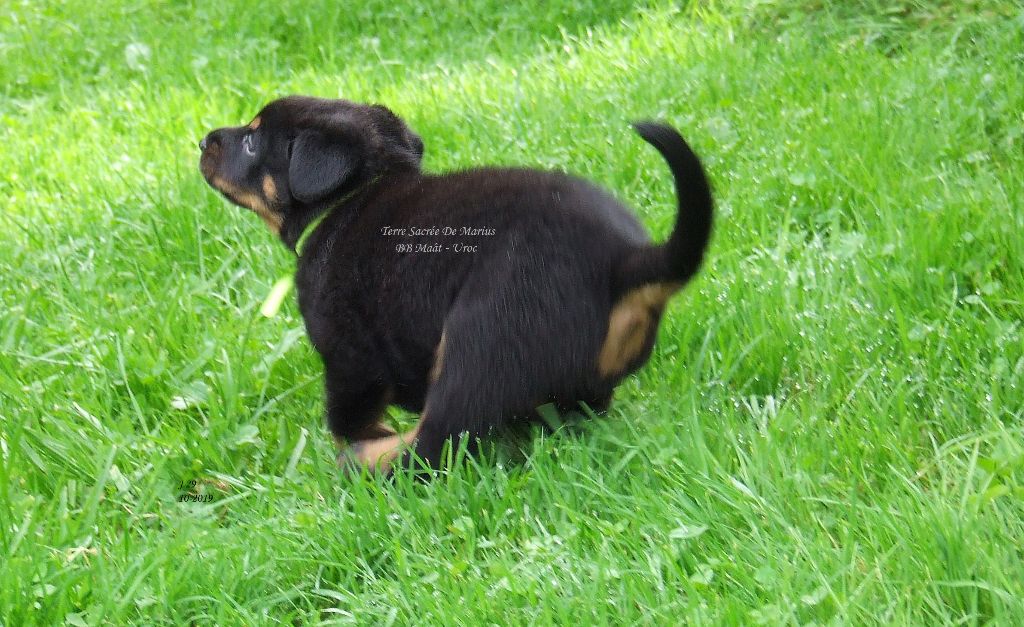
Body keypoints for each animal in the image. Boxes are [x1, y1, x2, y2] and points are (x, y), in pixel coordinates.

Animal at [197, 95, 712, 473]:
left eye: (252, 141)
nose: (204, 140)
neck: (352, 195)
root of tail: (623, 260)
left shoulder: (348, 356)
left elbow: (349, 417)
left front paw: (358, 441)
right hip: (579, 387)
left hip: (481, 339)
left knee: (438, 444)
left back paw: (367, 464)